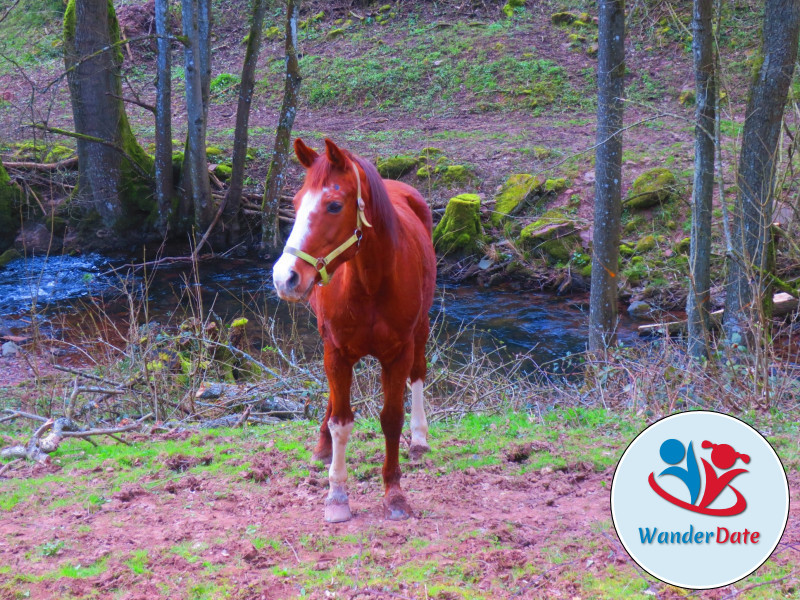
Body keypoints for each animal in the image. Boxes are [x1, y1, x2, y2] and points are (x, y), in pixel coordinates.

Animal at [274, 137, 438, 520]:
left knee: (419, 372)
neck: (370, 283)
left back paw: (419, 439)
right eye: (296, 203)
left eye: (334, 206)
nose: (284, 277)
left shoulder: (397, 354)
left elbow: (391, 419)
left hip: (420, 330)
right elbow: (341, 420)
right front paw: (336, 495)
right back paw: (322, 445)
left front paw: (394, 494)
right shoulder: (335, 351)